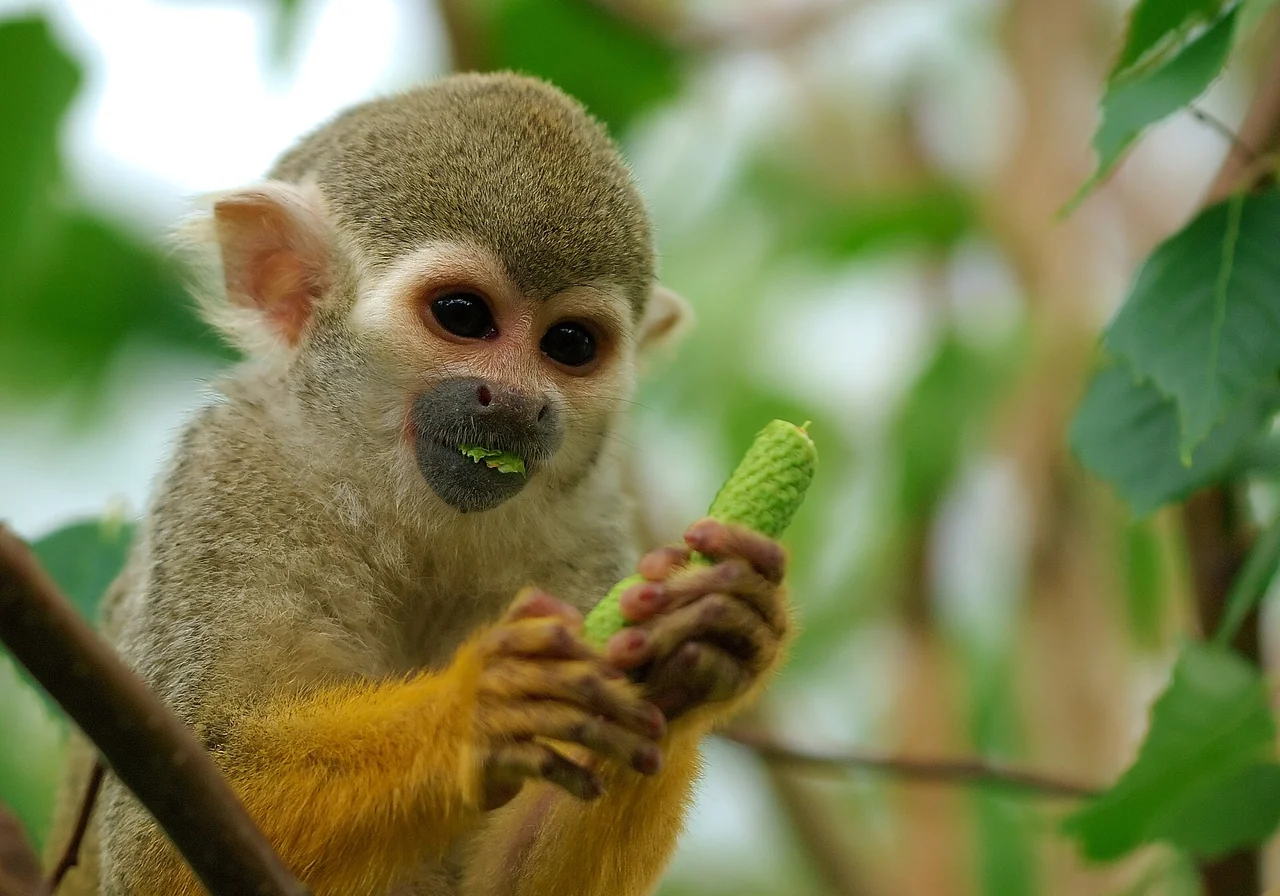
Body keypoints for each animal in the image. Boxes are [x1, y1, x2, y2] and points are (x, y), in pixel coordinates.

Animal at [47, 72, 793, 896]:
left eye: (570, 344)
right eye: (462, 315)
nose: (519, 403)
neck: (401, 502)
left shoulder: (587, 532)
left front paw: (696, 649)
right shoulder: (229, 477)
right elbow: (159, 844)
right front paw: (480, 711)